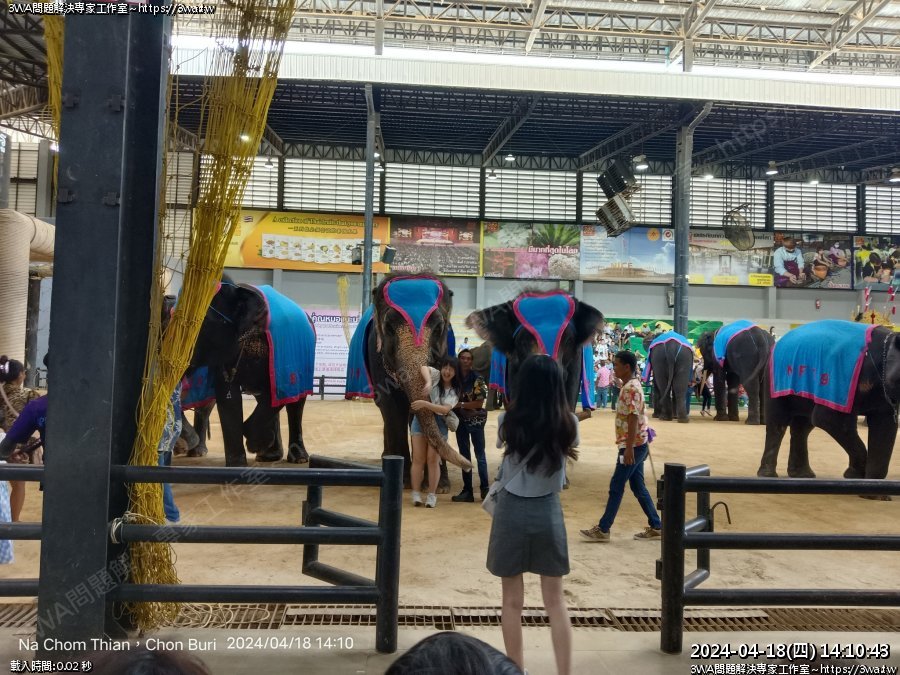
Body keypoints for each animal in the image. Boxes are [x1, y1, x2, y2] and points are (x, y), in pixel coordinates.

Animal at [186, 282, 315, 467]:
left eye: (204, 324)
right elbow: (228, 396)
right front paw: (237, 465)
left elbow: (280, 390)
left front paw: (254, 444)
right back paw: (268, 456)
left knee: (294, 402)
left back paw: (298, 458)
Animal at [346, 273, 472, 490]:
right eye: (388, 328)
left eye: (439, 328)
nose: (469, 466)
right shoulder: (376, 354)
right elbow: (392, 406)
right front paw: (403, 482)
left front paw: (440, 486)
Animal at [759, 321, 900, 483]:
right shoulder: (843, 384)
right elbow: (828, 419)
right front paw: (854, 475)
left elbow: (885, 427)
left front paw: (873, 485)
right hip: (775, 380)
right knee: (778, 423)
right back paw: (768, 475)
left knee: (803, 427)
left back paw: (803, 475)